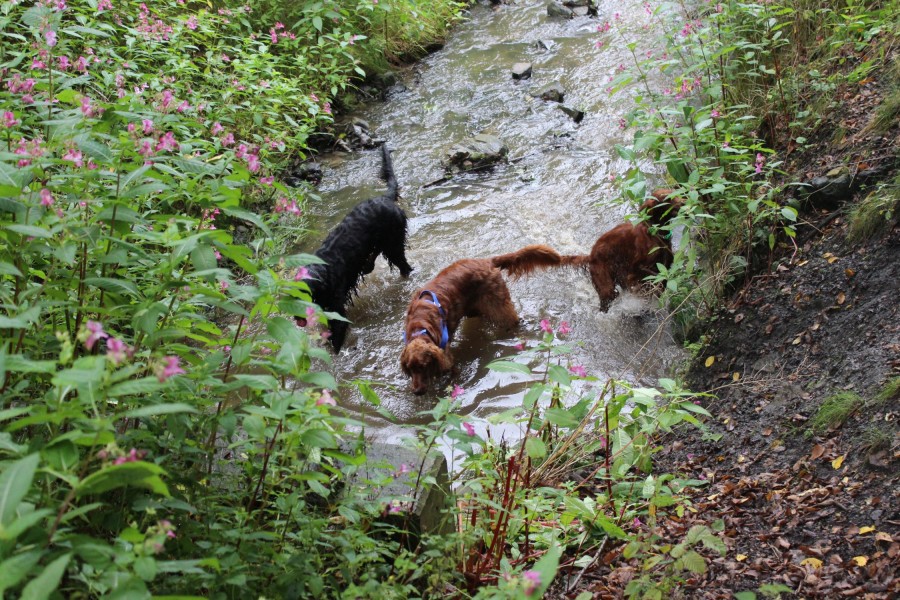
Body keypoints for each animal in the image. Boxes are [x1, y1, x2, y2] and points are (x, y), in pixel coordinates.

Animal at [298, 144, 412, 352]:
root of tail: (385, 198)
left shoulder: (336, 310)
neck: (324, 272)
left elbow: (336, 337)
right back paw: (368, 266)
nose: (298, 318)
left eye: (306, 293)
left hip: (394, 244)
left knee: (403, 265)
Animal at [400, 244, 564, 394]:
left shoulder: (446, 355)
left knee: (512, 319)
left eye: (423, 366)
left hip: (497, 305)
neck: (420, 325)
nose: (417, 391)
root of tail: (487, 261)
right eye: (410, 368)